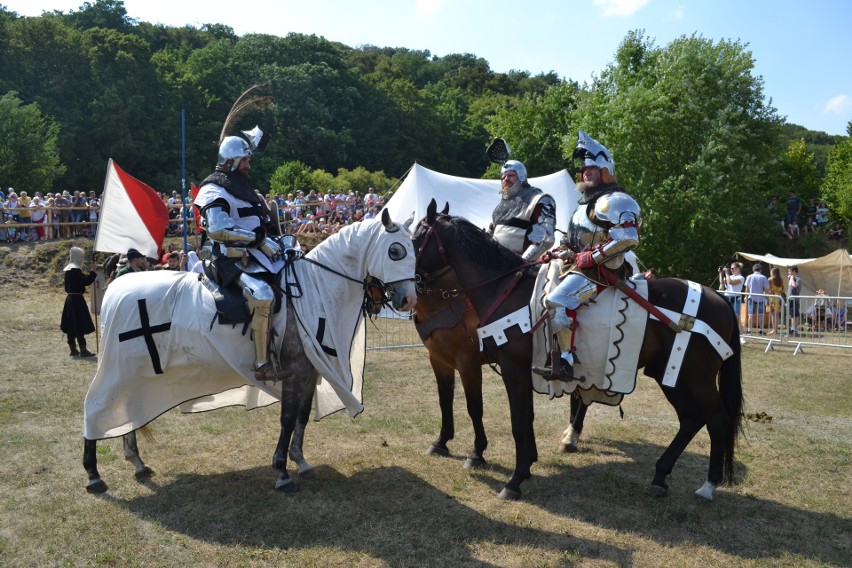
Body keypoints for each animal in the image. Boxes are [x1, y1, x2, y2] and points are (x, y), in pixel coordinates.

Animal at [83, 211, 416, 494]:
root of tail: (116, 289)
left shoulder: (310, 372)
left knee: (128, 411)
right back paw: (93, 475)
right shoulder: (295, 372)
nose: (408, 299)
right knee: (97, 408)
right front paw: (281, 472)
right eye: (395, 251)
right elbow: (287, 418)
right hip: (118, 370)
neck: (315, 291)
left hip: (132, 373)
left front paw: (301, 461)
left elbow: (303, 416)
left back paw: (137, 463)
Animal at [412, 201, 740, 502]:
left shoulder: (508, 368)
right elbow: (524, 417)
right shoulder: (507, 369)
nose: (408, 285)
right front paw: (525, 465)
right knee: (691, 419)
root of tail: (720, 299)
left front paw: (514, 479)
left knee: (717, 420)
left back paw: (708, 486)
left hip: (696, 377)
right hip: (670, 374)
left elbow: (516, 421)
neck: (502, 290)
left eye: (416, 237)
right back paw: (660, 476)